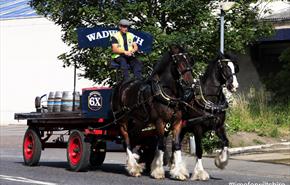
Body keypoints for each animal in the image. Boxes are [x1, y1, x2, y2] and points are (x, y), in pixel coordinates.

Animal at [111, 44, 195, 179]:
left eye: (190, 60)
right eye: (177, 61)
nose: (190, 83)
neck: (166, 92)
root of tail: (120, 85)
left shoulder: (177, 122)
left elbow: (176, 145)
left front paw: (179, 172)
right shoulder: (159, 122)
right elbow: (161, 145)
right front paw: (158, 171)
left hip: (138, 122)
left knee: (133, 139)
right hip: (122, 121)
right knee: (127, 141)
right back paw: (134, 168)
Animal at [180, 53, 239, 181]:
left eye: (235, 68)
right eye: (225, 67)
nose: (234, 86)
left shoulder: (219, 126)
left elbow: (226, 142)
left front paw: (220, 162)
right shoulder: (197, 128)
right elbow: (199, 150)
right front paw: (200, 173)